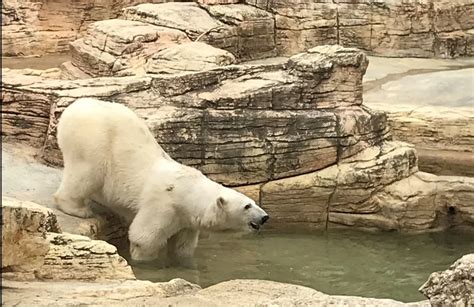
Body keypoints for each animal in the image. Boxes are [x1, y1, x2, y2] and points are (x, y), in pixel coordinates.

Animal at [53, 98, 268, 262]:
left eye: (253, 202)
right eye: (247, 206)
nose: (265, 217)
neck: (187, 191)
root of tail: (75, 107)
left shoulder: (187, 221)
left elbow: (183, 247)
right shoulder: (163, 205)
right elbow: (144, 238)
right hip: (93, 141)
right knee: (87, 173)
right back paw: (78, 209)